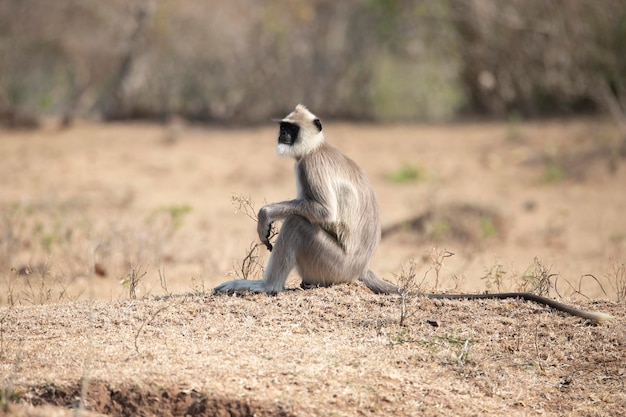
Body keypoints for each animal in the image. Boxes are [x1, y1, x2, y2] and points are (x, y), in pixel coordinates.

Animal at [213, 104, 608, 324]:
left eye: (290, 129)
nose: (281, 136)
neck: (318, 147)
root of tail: (360, 268)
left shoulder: (310, 164)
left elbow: (322, 212)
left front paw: (266, 216)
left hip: (331, 264)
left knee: (299, 224)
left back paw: (266, 287)